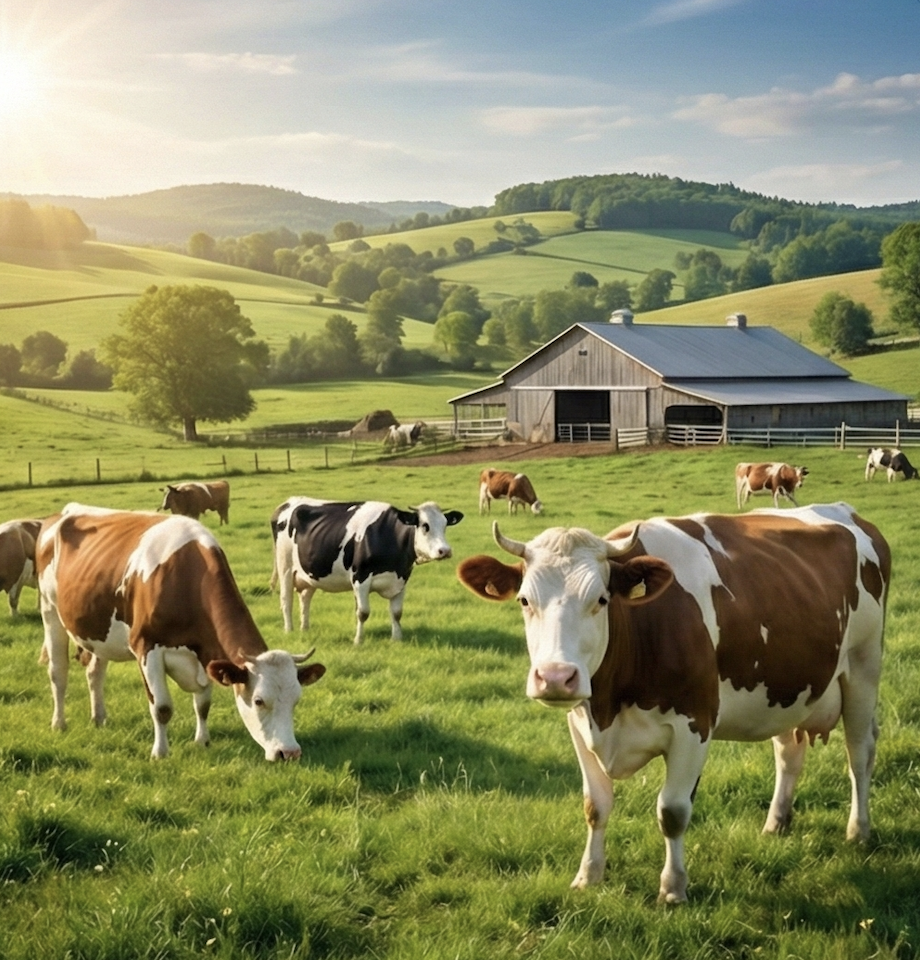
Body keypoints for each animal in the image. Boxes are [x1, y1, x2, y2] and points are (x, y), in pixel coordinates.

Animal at [37, 503, 325, 760]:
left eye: (296, 699)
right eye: (258, 701)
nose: (289, 753)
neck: (187, 578)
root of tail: (60, 514)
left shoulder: (206, 654)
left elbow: (203, 705)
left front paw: (202, 741)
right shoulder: (147, 647)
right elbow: (162, 708)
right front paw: (160, 753)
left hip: (99, 630)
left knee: (94, 672)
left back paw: (99, 718)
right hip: (50, 611)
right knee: (58, 672)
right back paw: (58, 723)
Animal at [271, 498, 463, 643]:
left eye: (445, 525)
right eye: (425, 525)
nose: (445, 551)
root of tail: (288, 502)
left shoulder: (401, 580)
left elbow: (397, 613)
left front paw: (396, 639)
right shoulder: (360, 579)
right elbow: (362, 613)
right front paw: (358, 640)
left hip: (309, 573)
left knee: (305, 598)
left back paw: (305, 628)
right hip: (285, 565)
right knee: (286, 599)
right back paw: (289, 630)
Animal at [457, 503, 889, 903]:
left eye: (601, 599)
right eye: (524, 600)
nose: (555, 677)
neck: (611, 703)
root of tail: (843, 511)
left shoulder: (693, 725)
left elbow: (672, 811)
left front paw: (672, 888)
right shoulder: (580, 723)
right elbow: (595, 806)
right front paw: (588, 876)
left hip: (864, 668)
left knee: (859, 753)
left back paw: (858, 830)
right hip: (787, 687)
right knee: (788, 753)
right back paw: (776, 823)